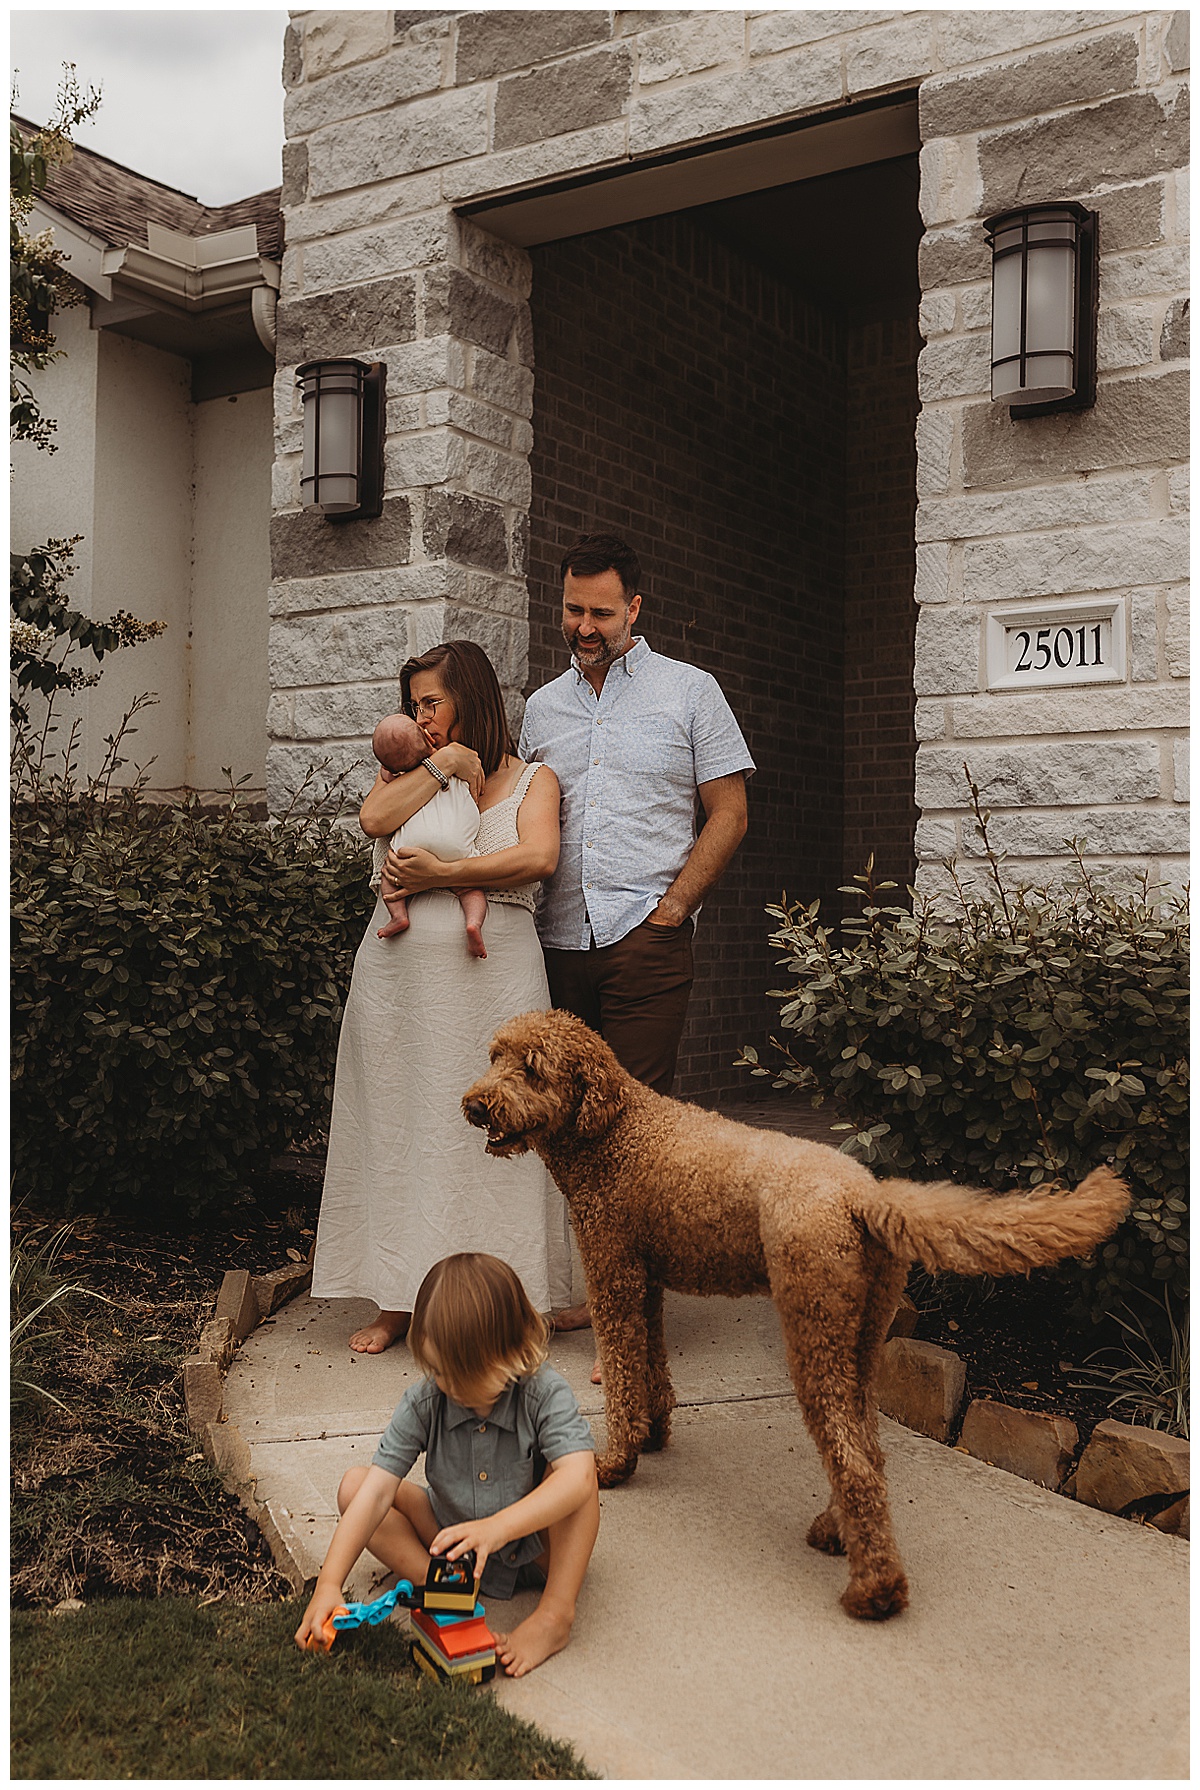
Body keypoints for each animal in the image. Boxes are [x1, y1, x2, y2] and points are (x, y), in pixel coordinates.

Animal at [462, 1009, 1131, 1625]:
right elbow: (651, 1365)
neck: (615, 1131)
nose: (474, 1105)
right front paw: (653, 1434)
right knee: (866, 1446)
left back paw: (875, 1590)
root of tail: (865, 1197)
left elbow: (624, 1376)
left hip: (814, 1329)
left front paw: (615, 1463)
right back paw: (838, 1532)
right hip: (861, 1336)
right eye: (494, 1057)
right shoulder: (645, 1280)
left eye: (532, 1069)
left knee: (852, 1459)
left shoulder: (614, 1273)